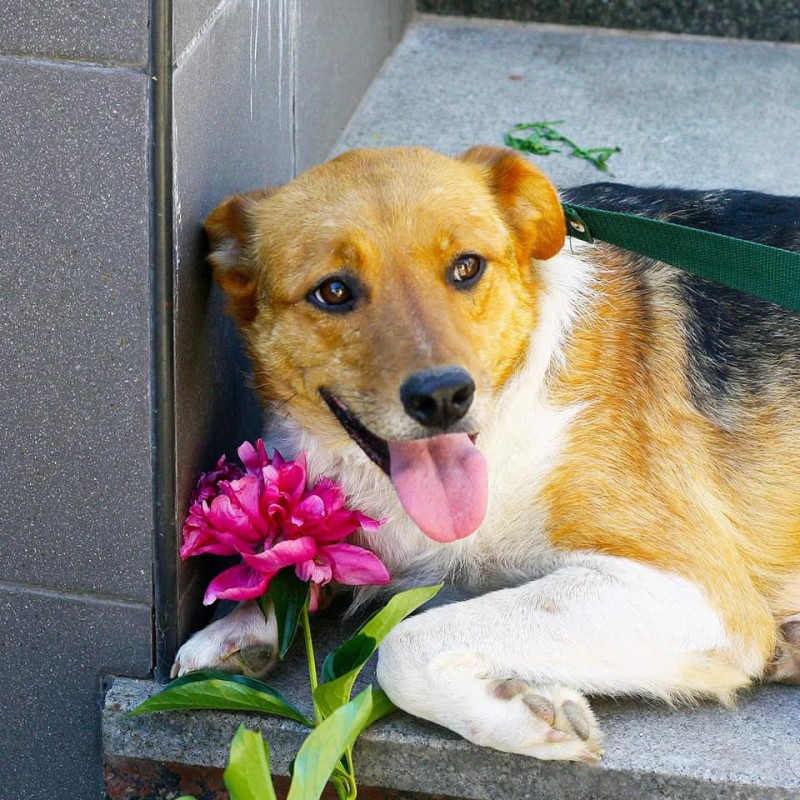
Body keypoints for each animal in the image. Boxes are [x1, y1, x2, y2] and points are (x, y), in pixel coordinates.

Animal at [173, 145, 800, 764]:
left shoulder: (698, 593)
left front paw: (522, 712)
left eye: (467, 267)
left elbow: (403, 645)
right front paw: (242, 624)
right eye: (333, 291)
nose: (443, 397)